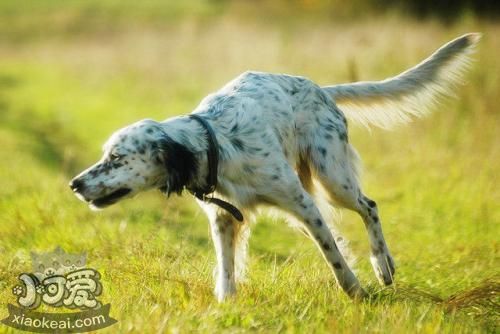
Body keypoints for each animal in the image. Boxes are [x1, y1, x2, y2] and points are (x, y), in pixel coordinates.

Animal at [70, 33, 480, 300]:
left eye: (116, 158)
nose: (75, 184)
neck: (216, 144)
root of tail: (321, 90)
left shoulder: (301, 204)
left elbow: (331, 255)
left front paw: (354, 290)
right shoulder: (224, 218)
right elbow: (227, 268)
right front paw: (226, 303)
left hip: (332, 179)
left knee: (369, 207)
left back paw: (383, 264)